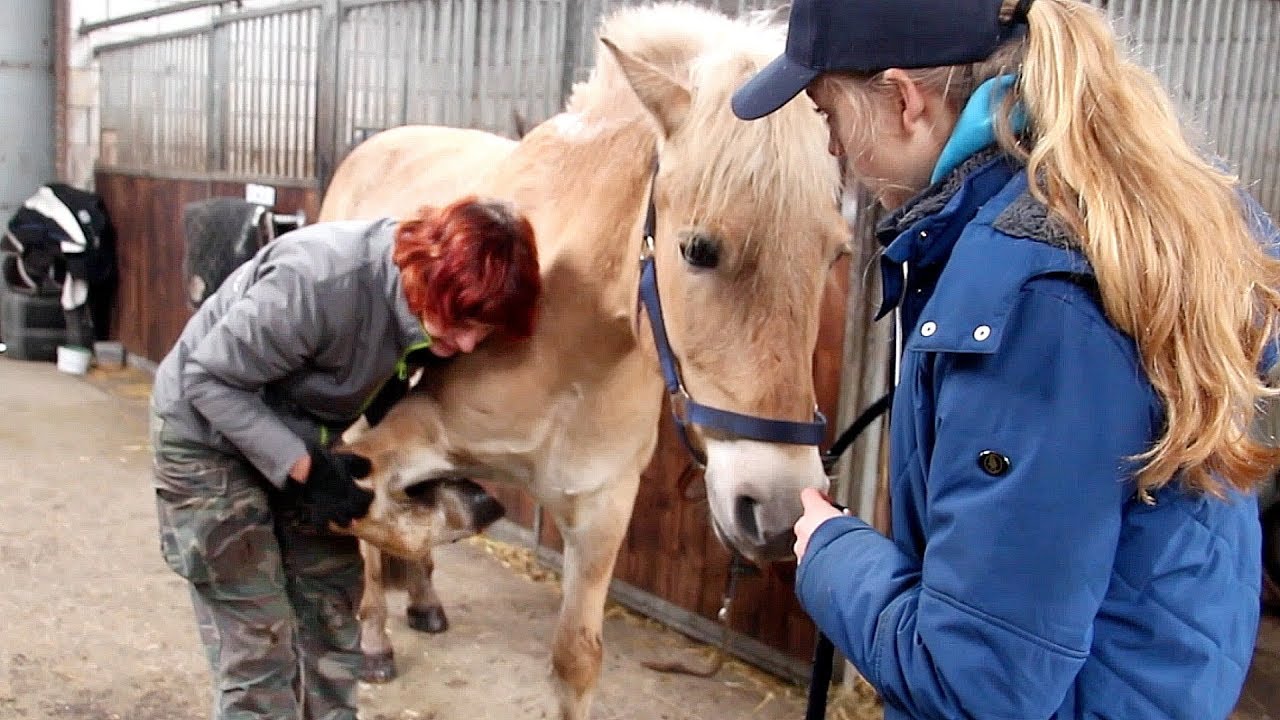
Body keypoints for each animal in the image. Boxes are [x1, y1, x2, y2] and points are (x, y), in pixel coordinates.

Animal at [318, 3, 848, 717]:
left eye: (836, 254)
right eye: (697, 249)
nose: (780, 509)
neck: (570, 346)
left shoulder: (601, 508)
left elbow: (575, 659)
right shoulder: (390, 438)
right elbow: (374, 523)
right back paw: (377, 636)